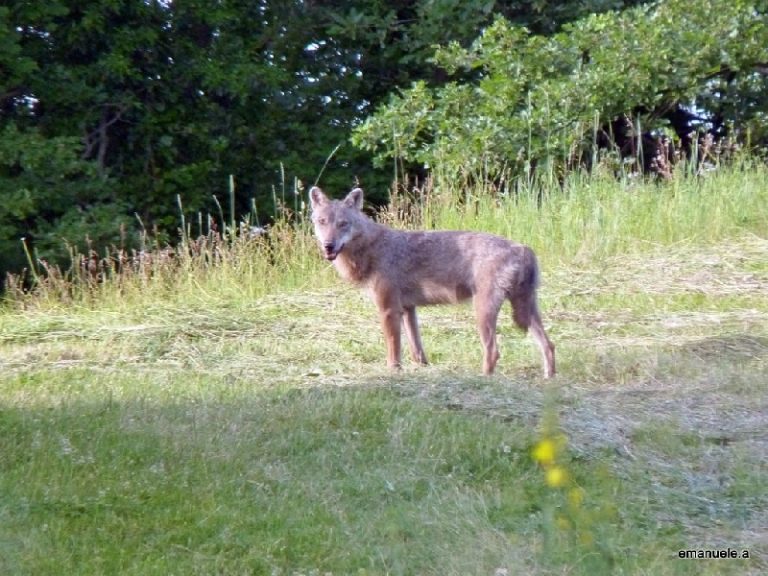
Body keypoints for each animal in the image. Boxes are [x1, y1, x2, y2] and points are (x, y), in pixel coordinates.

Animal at [308, 187, 556, 378]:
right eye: (322, 222)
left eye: (343, 224)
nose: (329, 245)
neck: (372, 248)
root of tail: (523, 248)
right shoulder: (408, 309)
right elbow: (416, 348)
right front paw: (423, 369)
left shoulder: (388, 310)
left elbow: (393, 347)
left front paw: (393, 371)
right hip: (526, 312)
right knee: (549, 345)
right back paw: (549, 380)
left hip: (483, 313)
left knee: (493, 350)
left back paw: (483, 378)